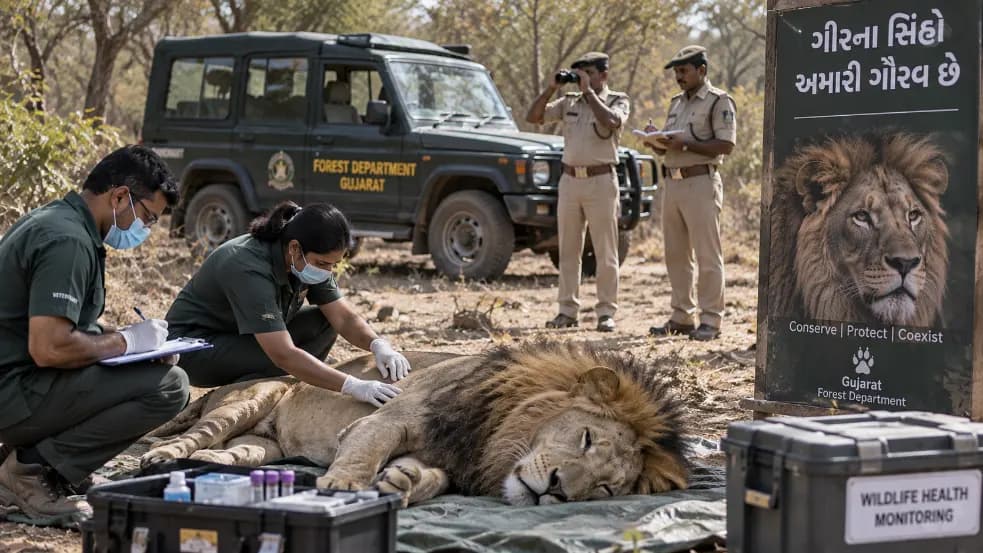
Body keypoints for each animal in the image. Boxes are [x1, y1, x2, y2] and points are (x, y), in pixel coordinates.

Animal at [140, 341, 688, 506]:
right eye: (586, 437)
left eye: (604, 489)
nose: (555, 489)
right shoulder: (389, 418)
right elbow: (362, 452)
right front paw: (343, 487)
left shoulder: (453, 458)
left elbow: (434, 478)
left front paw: (403, 482)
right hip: (251, 400)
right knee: (197, 432)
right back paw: (162, 456)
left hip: (264, 445)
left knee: (234, 451)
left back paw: (208, 466)